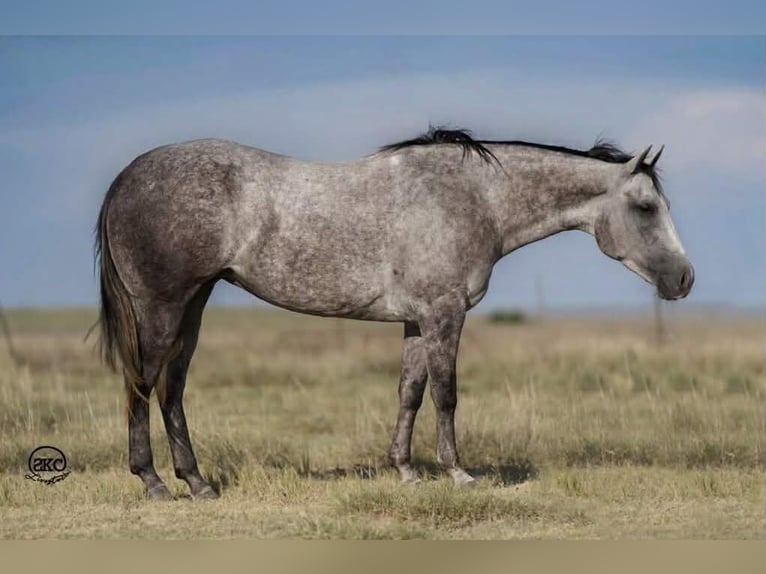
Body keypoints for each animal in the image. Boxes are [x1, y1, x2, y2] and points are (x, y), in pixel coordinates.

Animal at [95, 127, 694, 499]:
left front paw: (405, 470)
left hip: (192, 308)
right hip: (162, 309)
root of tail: (127, 176)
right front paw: (458, 473)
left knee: (171, 389)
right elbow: (447, 394)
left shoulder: (415, 321)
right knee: (142, 384)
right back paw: (153, 482)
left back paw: (197, 483)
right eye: (646, 207)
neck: (473, 198)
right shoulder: (444, 315)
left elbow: (410, 391)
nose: (685, 279)